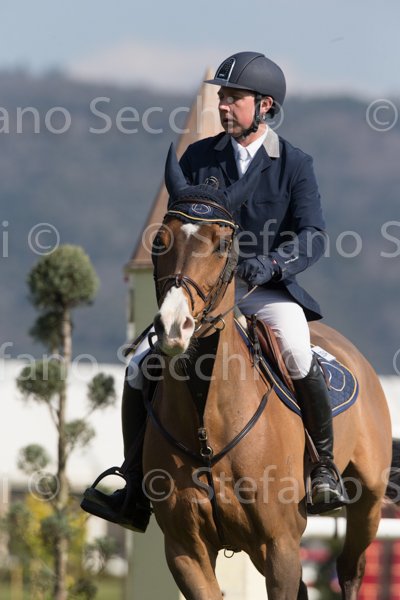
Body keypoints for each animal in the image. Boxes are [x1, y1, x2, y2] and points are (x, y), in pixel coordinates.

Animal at [141, 152, 397, 599]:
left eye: (223, 244)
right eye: (160, 241)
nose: (174, 327)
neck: (208, 418)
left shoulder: (279, 544)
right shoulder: (186, 551)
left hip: (366, 502)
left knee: (349, 568)